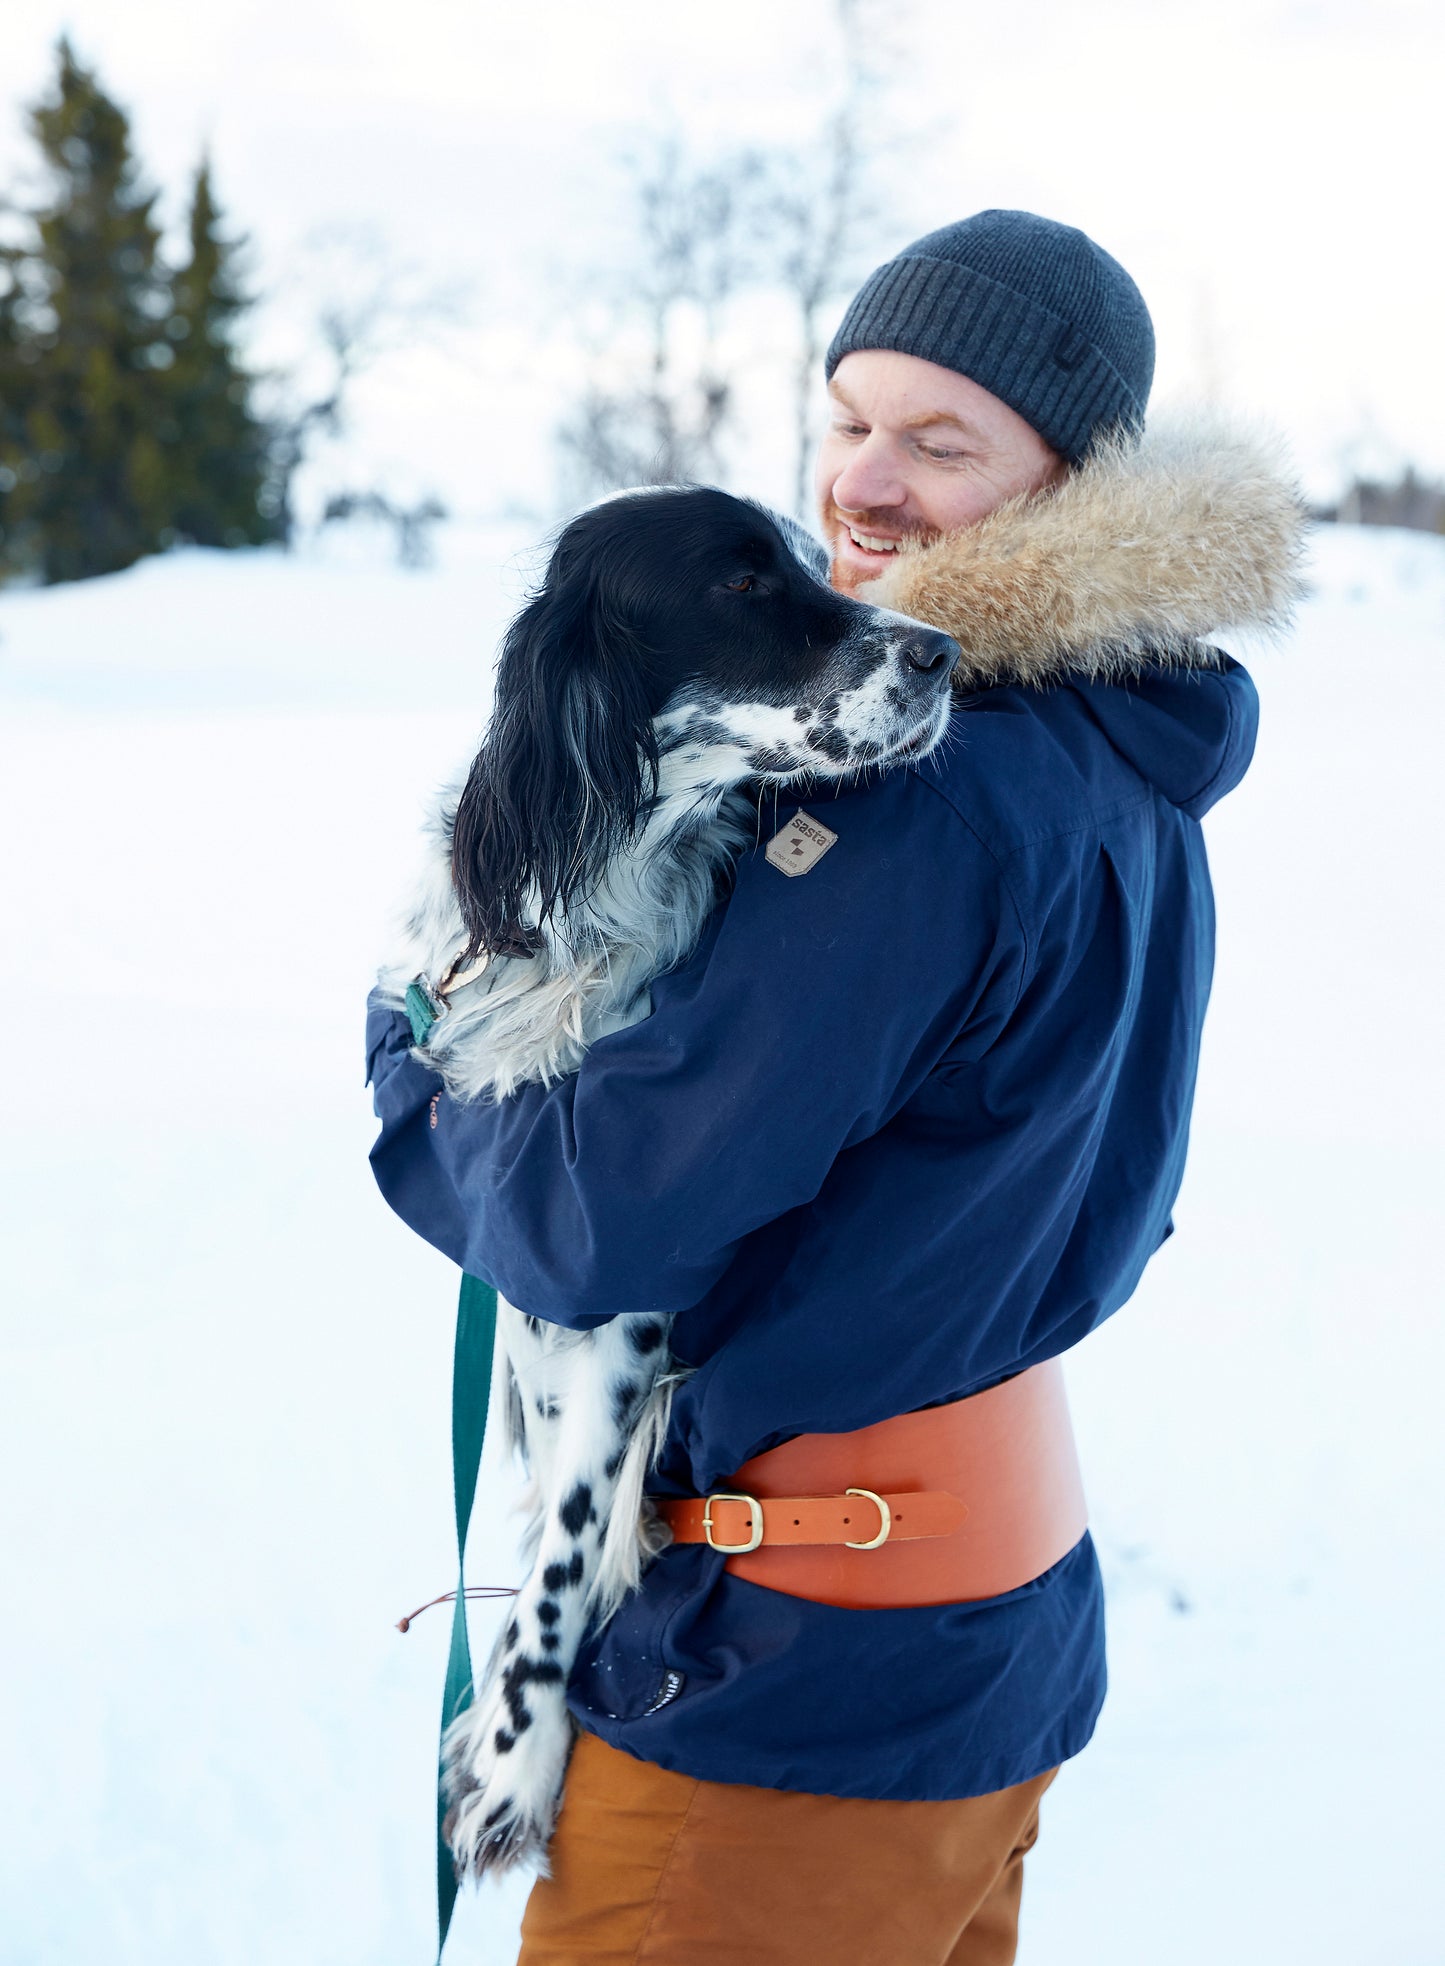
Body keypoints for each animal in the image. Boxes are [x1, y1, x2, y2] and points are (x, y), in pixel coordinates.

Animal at [381, 483, 959, 1879]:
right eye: (742, 584)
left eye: (810, 561)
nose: (943, 654)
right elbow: (549, 1518)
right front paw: (495, 1740)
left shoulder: (614, 1307)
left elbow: (560, 1556)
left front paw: (512, 1765)